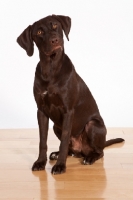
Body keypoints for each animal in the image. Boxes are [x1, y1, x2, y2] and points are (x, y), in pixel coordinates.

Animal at [16, 14, 124, 173]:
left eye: (55, 25)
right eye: (39, 32)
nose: (54, 40)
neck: (51, 69)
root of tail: (81, 151)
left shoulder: (68, 111)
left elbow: (64, 140)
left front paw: (60, 165)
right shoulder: (41, 111)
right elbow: (43, 140)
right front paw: (40, 162)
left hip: (92, 125)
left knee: (99, 151)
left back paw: (89, 158)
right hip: (56, 126)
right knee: (69, 148)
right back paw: (57, 154)